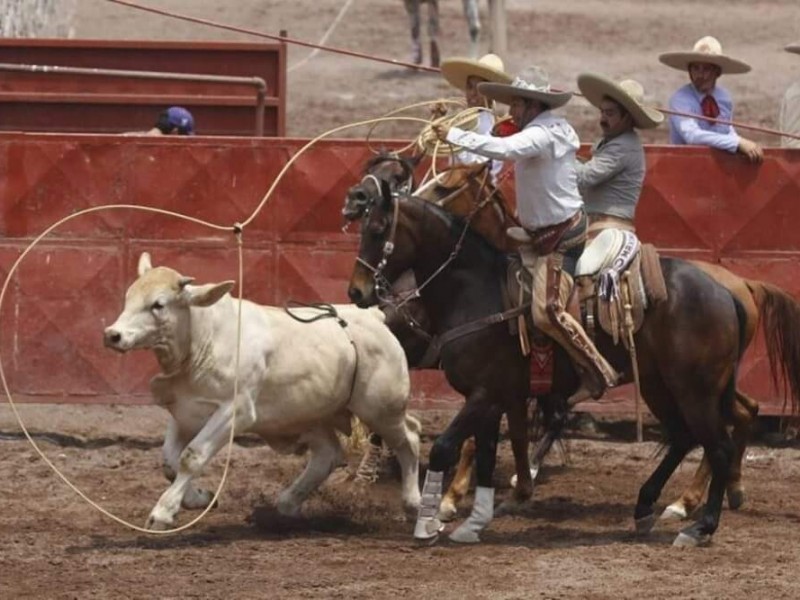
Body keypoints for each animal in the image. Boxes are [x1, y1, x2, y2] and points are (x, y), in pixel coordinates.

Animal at [103, 252, 422, 528]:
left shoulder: (236, 411)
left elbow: (192, 456)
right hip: (311, 415)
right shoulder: (186, 411)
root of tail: (374, 318)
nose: (112, 335)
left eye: (158, 304)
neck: (202, 338)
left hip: (382, 408)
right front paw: (199, 498)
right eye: (129, 298)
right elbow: (170, 461)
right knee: (328, 454)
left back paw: (413, 505)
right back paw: (287, 504)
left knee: (409, 438)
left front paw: (162, 513)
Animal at [346, 175, 800, 548]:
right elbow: (488, 453)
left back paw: (698, 524)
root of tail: (730, 290)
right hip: (664, 385)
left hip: (696, 389)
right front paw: (475, 521)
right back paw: (649, 507)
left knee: (717, 444)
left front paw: (430, 523)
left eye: (377, 230)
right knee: (692, 433)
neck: (477, 290)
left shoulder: (485, 394)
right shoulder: (496, 397)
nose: (357, 291)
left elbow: (447, 448)